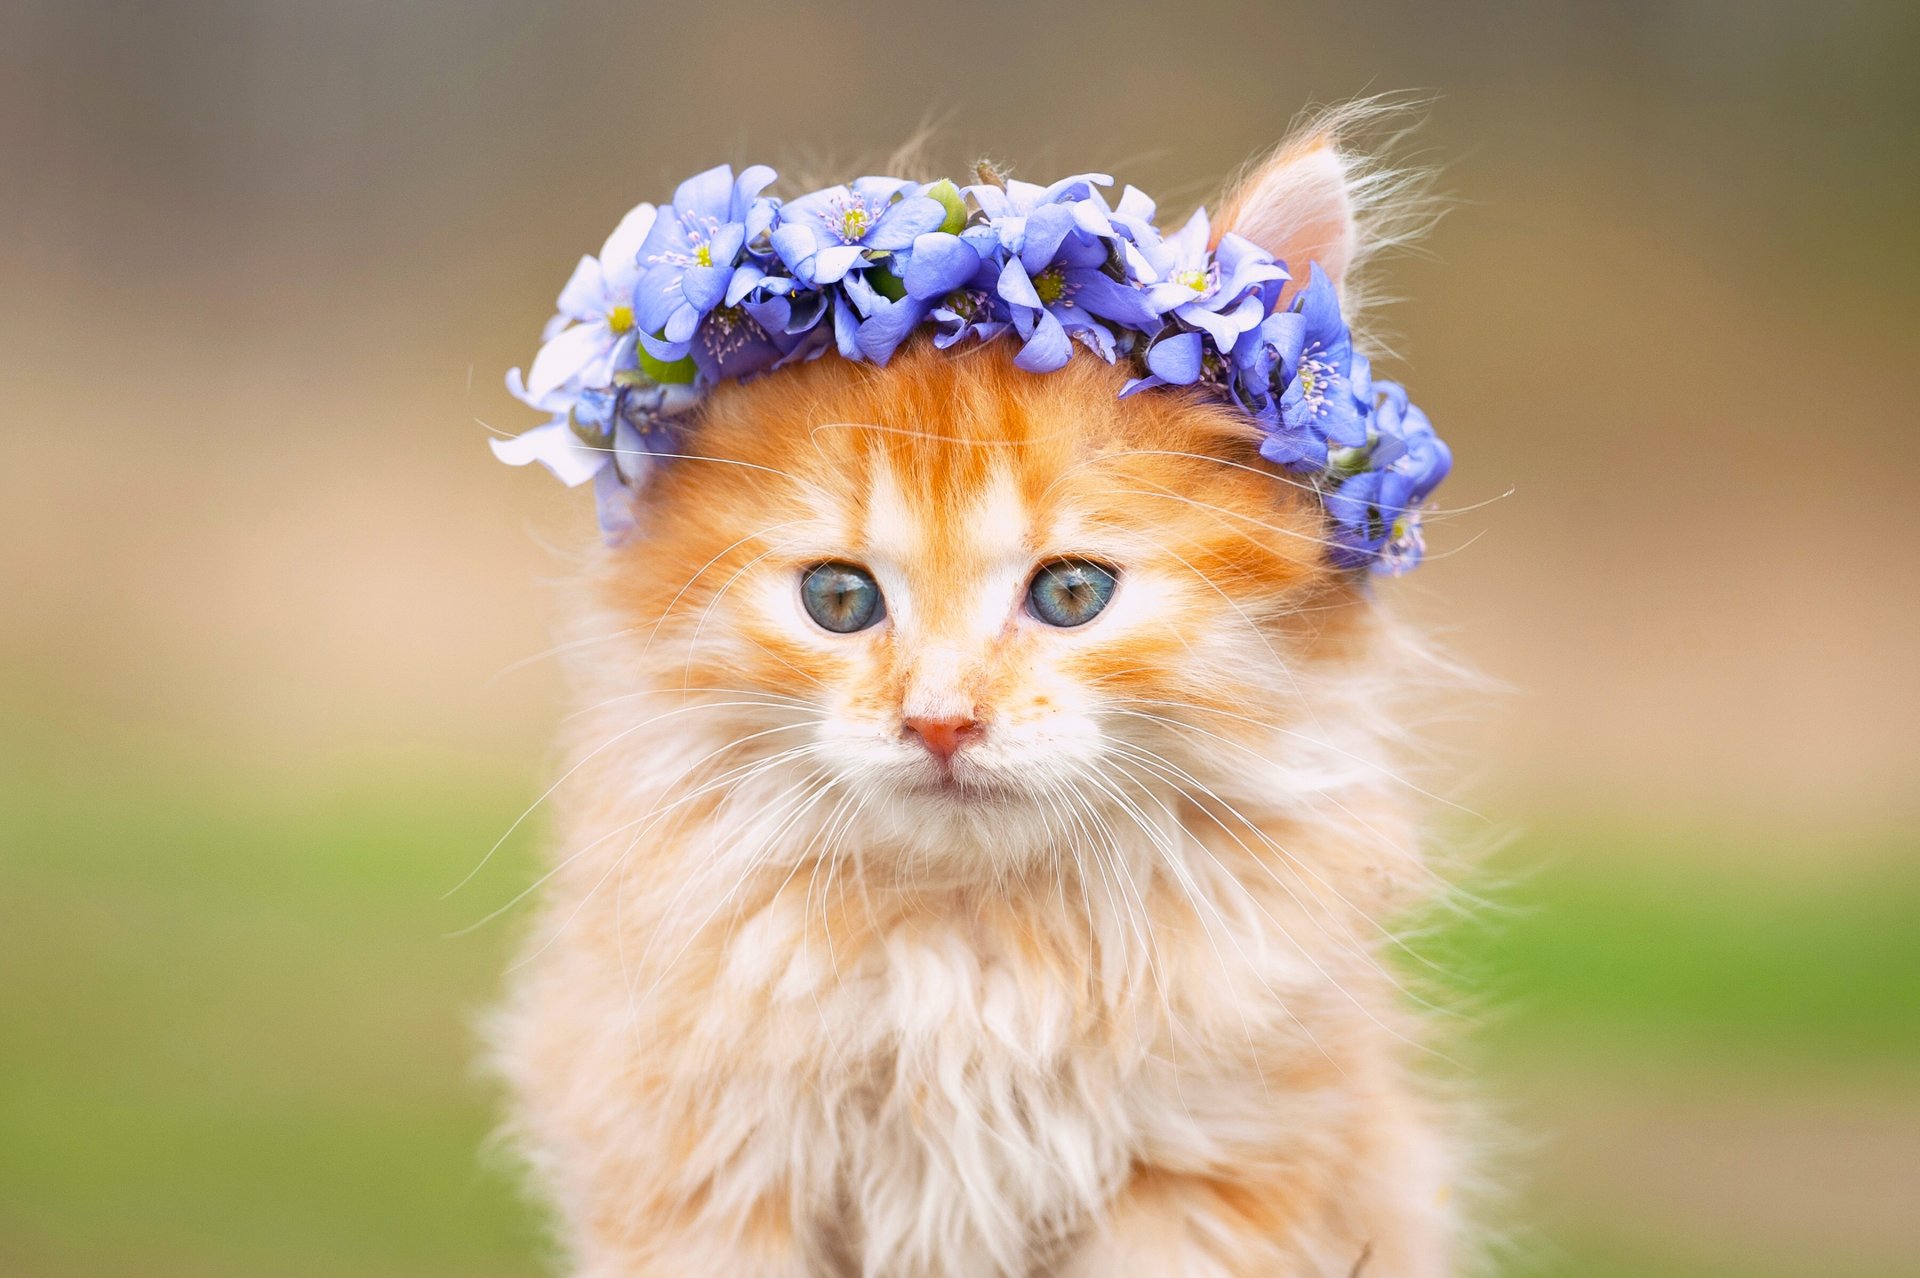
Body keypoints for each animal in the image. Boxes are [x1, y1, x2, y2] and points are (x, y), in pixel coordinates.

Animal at [487, 124, 1459, 1274]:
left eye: (1072, 593)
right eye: (840, 598)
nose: (941, 721)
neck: (969, 950)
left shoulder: (1217, 1166)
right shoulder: (698, 1166)